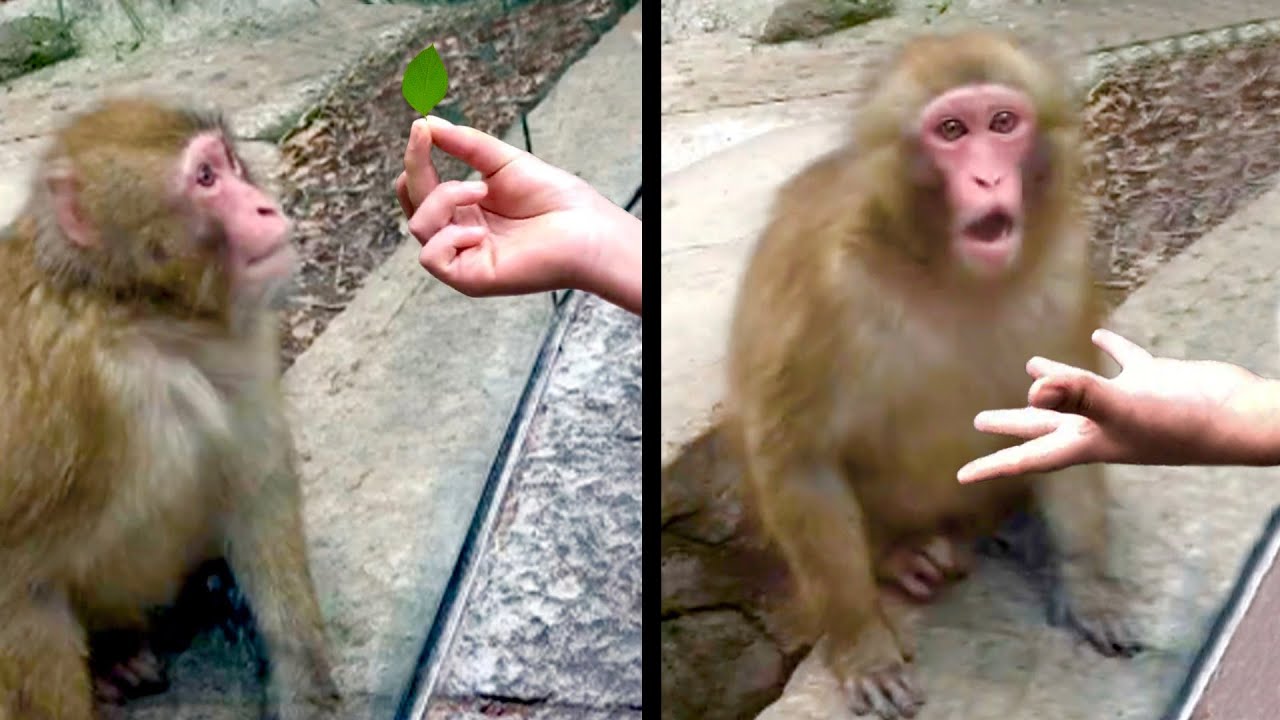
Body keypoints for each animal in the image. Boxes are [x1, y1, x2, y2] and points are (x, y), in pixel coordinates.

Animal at [0, 96, 340, 717]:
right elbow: (19, 589)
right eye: (205, 178)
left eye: (229, 162)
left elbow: (258, 484)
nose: (263, 205)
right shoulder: (48, 399)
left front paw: (305, 689)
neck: (139, 315)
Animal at [727, 29, 1146, 717]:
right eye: (951, 130)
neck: (946, 272)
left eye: (1002, 123)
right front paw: (864, 645)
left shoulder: (1063, 267)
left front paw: (1092, 587)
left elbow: (1066, 413)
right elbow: (799, 457)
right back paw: (903, 553)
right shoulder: (823, 287)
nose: (987, 175)